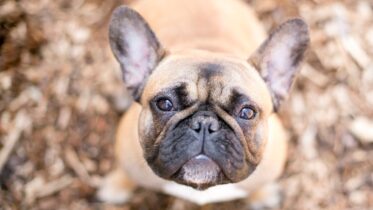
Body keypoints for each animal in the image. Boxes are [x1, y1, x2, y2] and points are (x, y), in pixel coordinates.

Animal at [96, 0, 308, 205]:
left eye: (247, 112)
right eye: (165, 104)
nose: (204, 123)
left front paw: (261, 195)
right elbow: (127, 174)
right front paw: (117, 185)